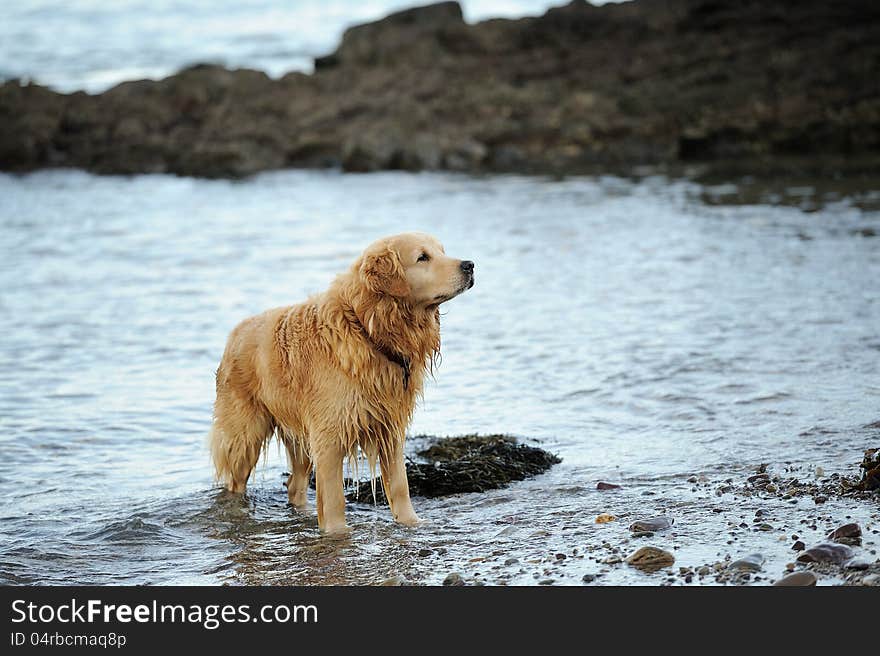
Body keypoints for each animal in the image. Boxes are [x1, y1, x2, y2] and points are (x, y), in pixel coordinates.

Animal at [209, 231, 474, 532]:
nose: (470, 265)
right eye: (422, 257)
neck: (367, 330)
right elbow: (334, 498)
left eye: (442, 251)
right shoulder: (330, 437)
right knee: (235, 482)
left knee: (295, 485)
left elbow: (399, 487)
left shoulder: (390, 429)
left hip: (300, 438)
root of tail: (236, 331)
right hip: (245, 435)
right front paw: (337, 534)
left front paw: (411, 524)